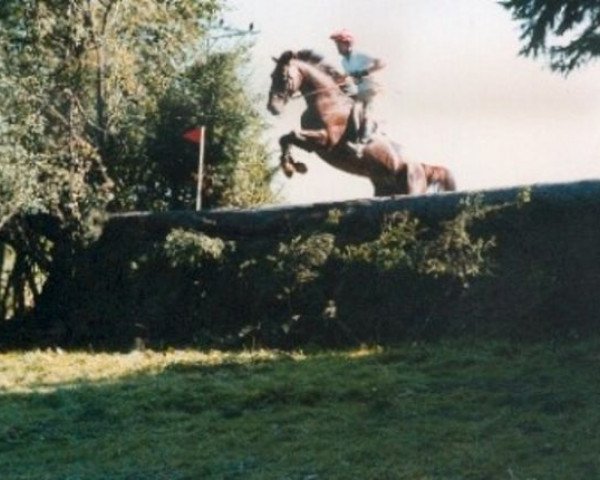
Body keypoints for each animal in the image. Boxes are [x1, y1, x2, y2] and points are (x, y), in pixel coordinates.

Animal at [268, 49, 454, 196]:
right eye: (272, 76)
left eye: (284, 77)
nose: (272, 108)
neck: (324, 100)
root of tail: (422, 166)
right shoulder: (312, 144)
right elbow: (285, 138)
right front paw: (291, 166)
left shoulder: (326, 139)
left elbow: (292, 133)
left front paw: (291, 166)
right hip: (383, 189)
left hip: (412, 184)